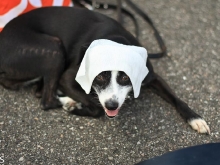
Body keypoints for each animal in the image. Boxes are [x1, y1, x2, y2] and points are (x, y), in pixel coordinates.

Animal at [0, 6, 210, 133]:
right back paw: (69, 102)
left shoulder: (152, 76)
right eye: (99, 77)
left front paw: (195, 118)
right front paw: (78, 107)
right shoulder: (67, 78)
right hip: (53, 49)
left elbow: (177, 99)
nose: (111, 105)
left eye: (125, 78)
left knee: (40, 92)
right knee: (46, 100)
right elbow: (96, 108)